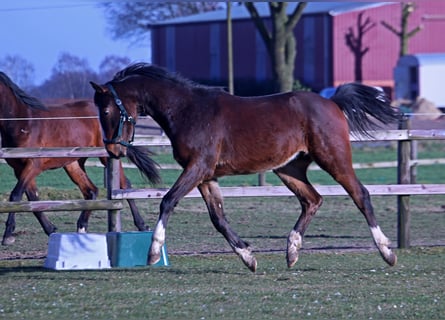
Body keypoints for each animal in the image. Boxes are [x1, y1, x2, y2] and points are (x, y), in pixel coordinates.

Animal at [0, 70, 153, 245]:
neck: (23, 123)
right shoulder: (19, 169)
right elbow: (32, 198)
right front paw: (51, 229)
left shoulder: (33, 165)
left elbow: (16, 195)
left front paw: (8, 235)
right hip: (73, 164)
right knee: (91, 191)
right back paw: (81, 227)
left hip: (107, 156)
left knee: (124, 184)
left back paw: (142, 225)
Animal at [89, 63, 398, 272]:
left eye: (106, 110)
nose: (113, 150)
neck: (187, 110)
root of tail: (332, 102)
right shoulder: (206, 176)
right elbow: (218, 218)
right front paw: (248, 257)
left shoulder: (198, 167)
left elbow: (168, 201)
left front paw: (153, 251)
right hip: (289, 169)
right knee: (312, 199)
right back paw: (292, 250)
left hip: (333, 158)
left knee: (360, 195)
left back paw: (387, 251)